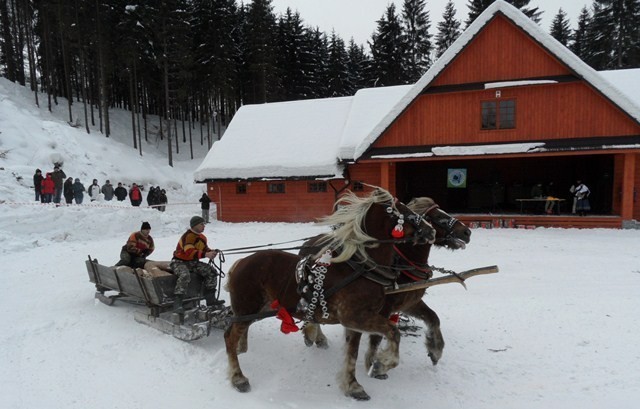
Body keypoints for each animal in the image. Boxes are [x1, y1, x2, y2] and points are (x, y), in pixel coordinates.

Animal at [222, 188, 438, 398]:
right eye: (404, 210)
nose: (431, 231)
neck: (361, 270)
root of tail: (241, 262)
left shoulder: (356, 322)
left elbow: (352, 353)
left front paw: (352, 386)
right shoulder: (356, 317)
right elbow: (393, 333)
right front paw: (380, 365)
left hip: (259, 309)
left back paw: (243, 351)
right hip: (247, 309)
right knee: (229, 337)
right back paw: (238, 378)